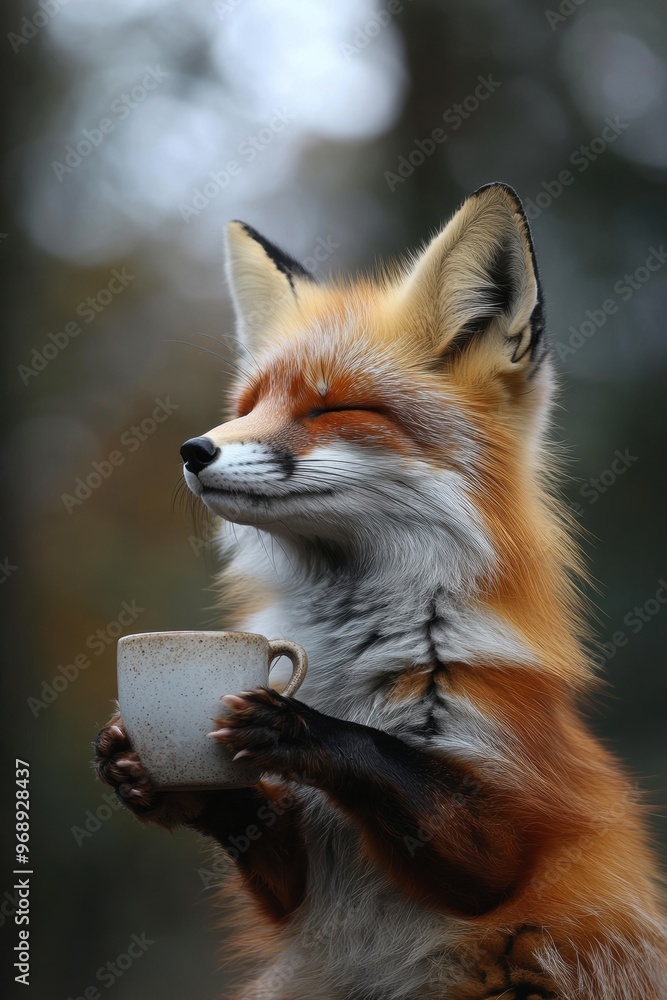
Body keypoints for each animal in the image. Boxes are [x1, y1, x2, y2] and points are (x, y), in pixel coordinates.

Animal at [94, 182, 667, 999]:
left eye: (332, 409)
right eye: (248, 405)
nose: (193, 450)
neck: (346, 664)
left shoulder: (506, 811)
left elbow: (387, 761)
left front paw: (300, 728)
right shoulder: (300, 887)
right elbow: (266, 844)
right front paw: (151, 770)